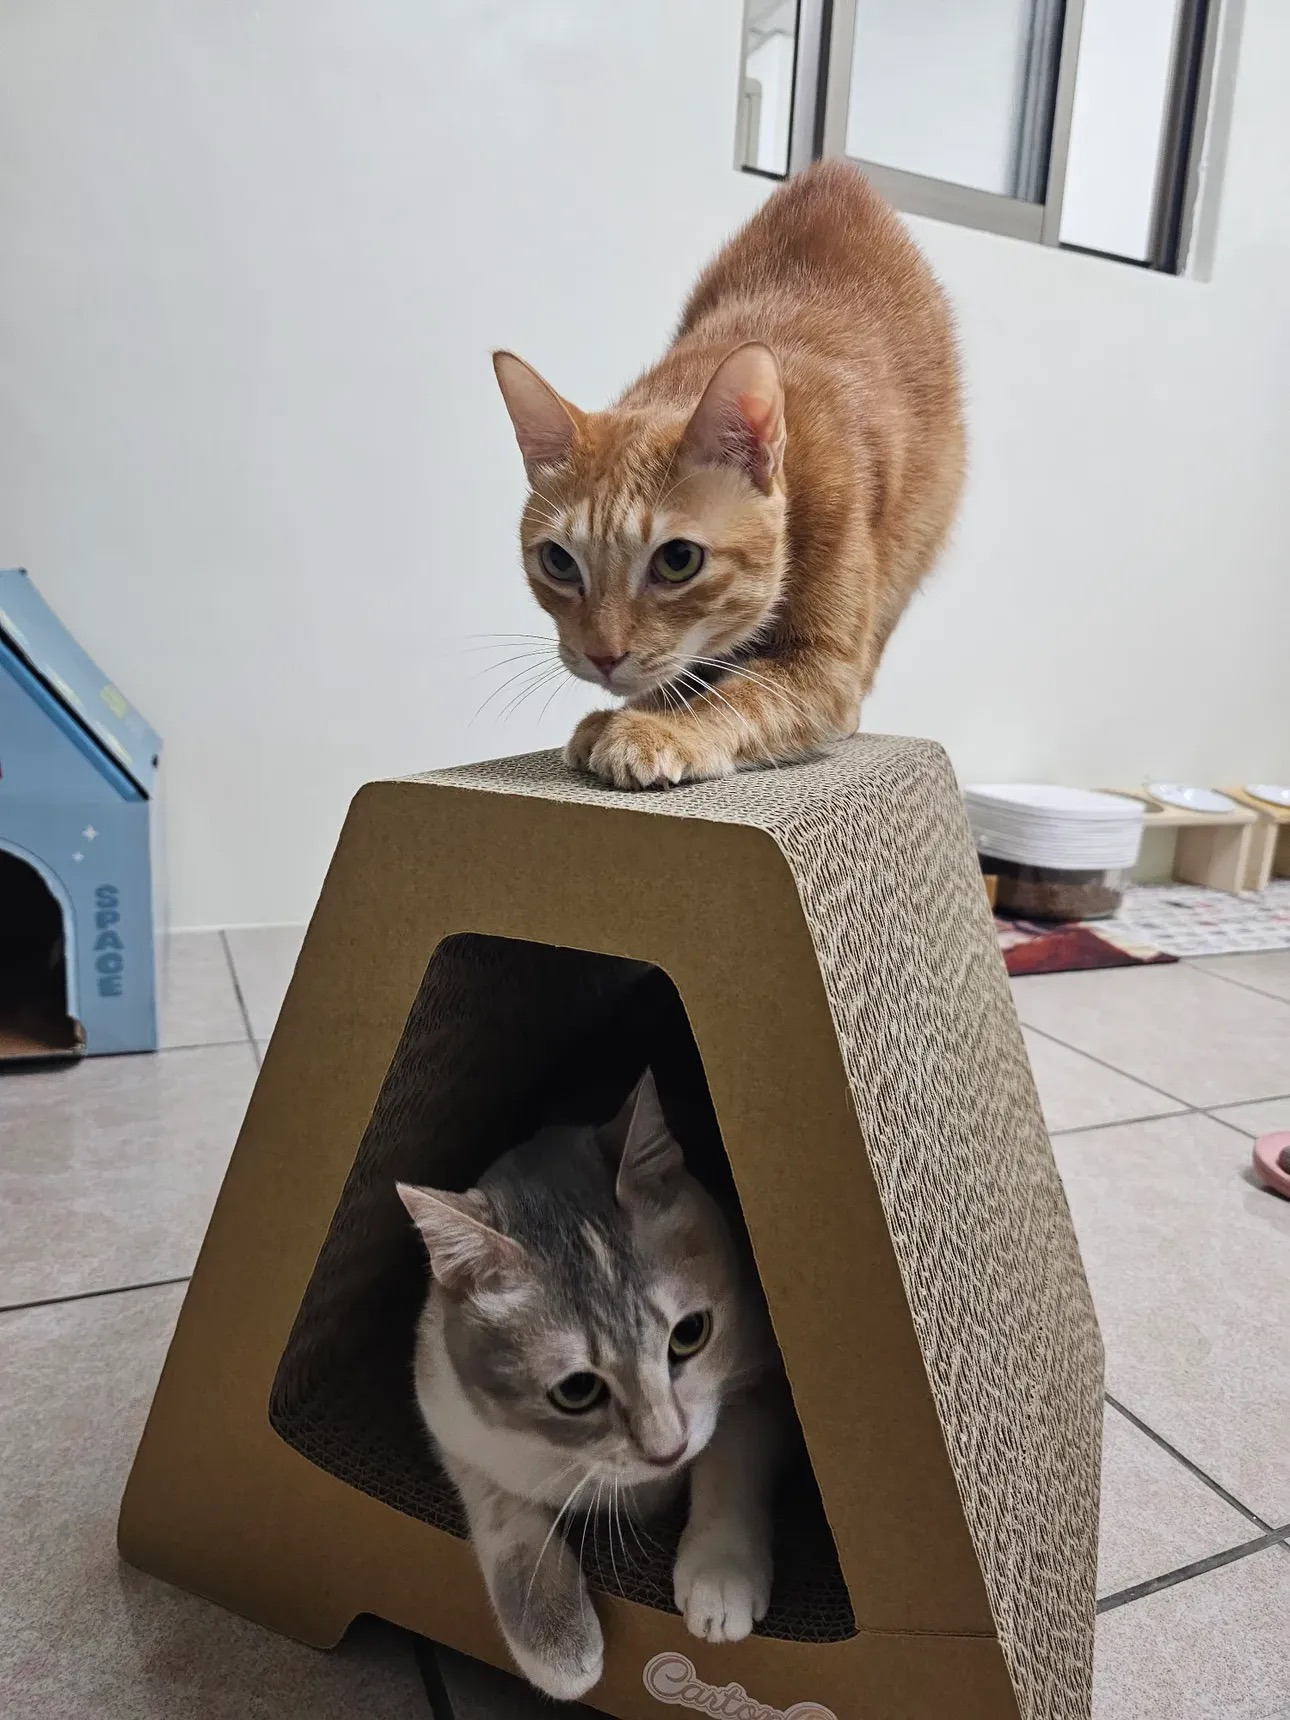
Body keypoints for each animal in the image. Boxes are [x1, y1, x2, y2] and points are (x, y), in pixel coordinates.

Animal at [397, 1069, 784, 1702]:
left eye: (691, 1334)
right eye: (576, 1390)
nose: (667, 1449)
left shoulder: (761, 1372)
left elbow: (731, 1454)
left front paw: (719, 1570)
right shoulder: (449, 1418)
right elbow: (504, 1516)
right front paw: (554, 1635)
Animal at [492, 159, 964, 789]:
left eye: (678, 560)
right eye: (559, 562)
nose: (602, 656)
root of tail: (839, 174)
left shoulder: (828, 670)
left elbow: (742, 697)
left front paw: (661, 728)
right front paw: (640, 709)